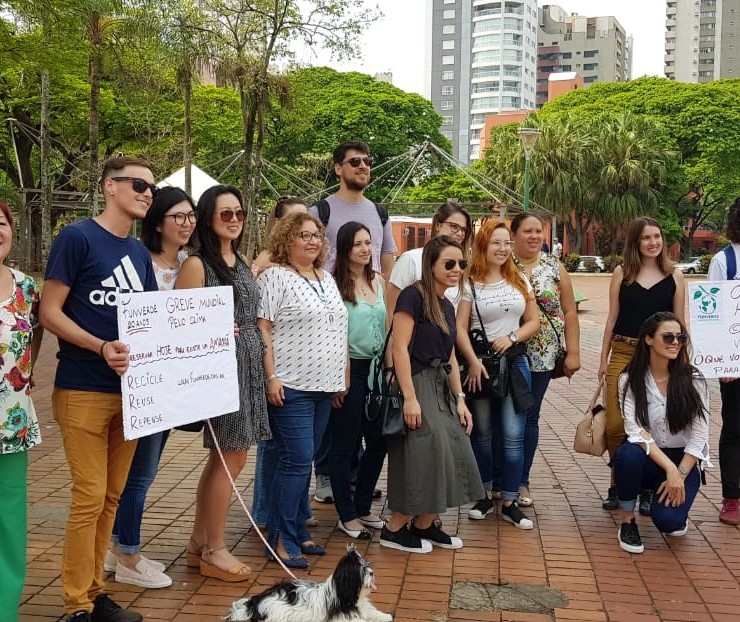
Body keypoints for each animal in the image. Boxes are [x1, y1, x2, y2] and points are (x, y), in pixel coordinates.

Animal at [225, 548, 394, 620]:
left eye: (367, 565)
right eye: (362, 570)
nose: (371, 573)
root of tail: (255, 602)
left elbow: (371, 612)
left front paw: (385, 616)